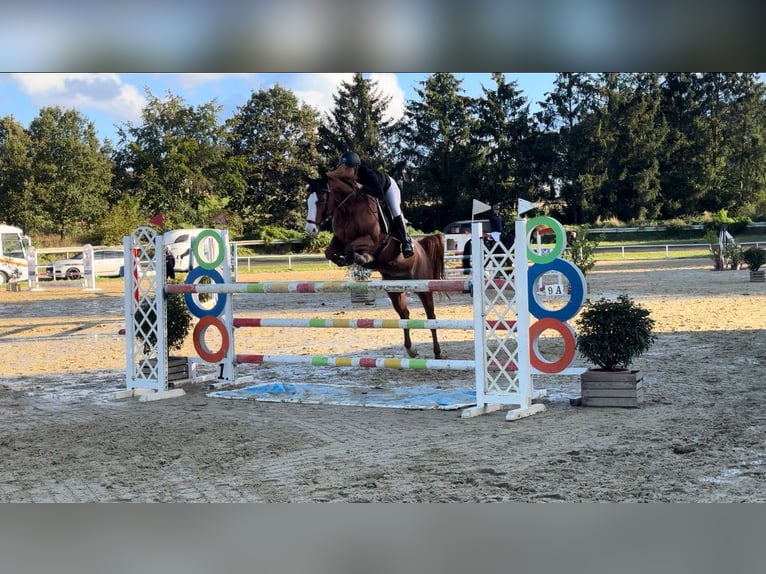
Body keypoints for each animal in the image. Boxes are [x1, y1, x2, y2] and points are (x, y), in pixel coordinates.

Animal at [308, 171, 450, 360]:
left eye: (322, 199)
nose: (310, 230)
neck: (348, 209)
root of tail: (422, 247)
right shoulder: (339, 240)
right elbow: (330, 252)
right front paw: (343, 260)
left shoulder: (373, 240)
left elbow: (351, 247)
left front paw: (362, 258)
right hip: (394, 290)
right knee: (404, 314)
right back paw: (411, 349)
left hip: (423, 286)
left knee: (431, 316)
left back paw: (437, 352)